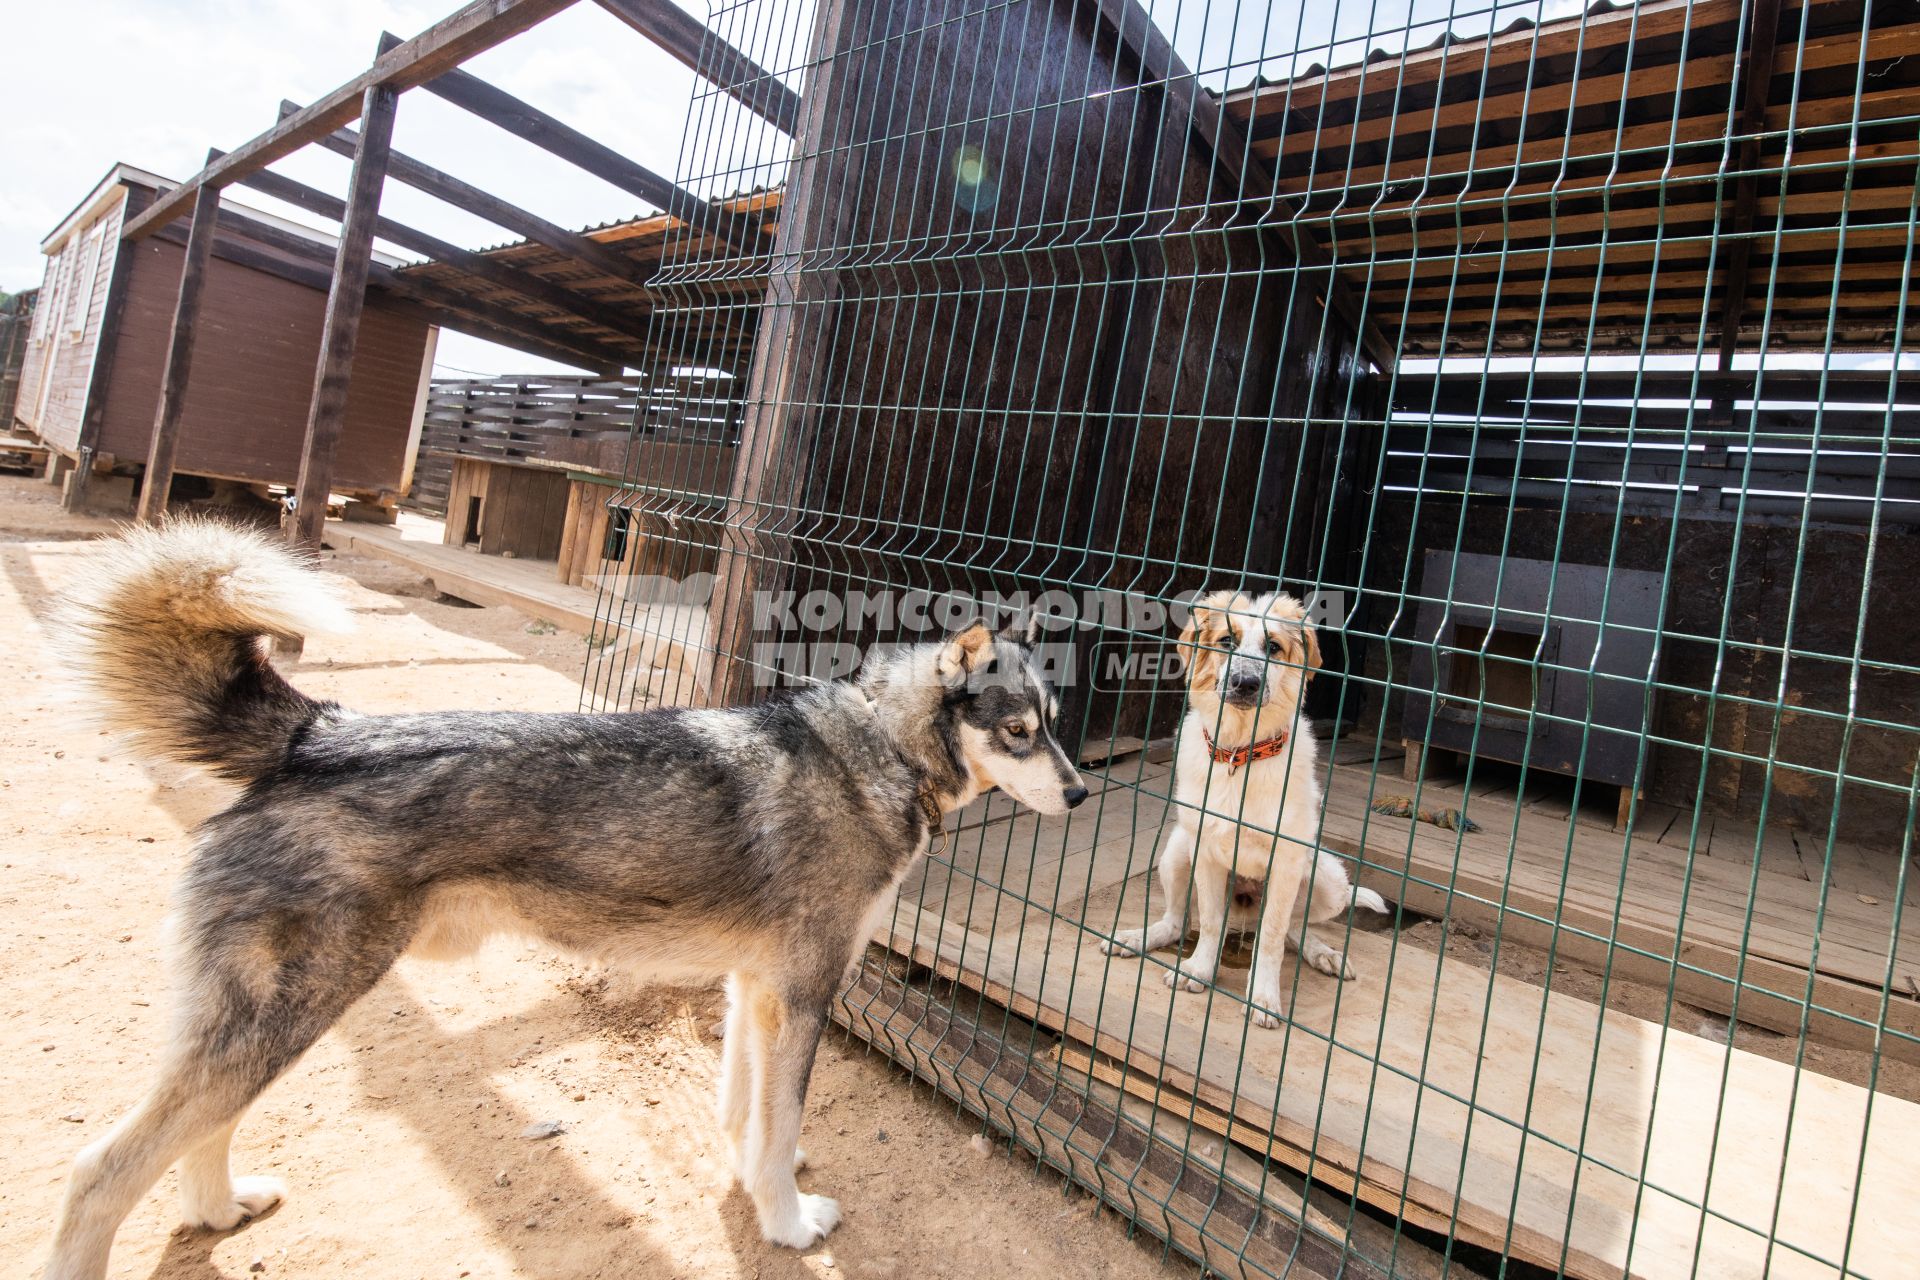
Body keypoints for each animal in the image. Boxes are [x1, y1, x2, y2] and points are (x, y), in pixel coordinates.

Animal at [45, 521, 1090, 1280]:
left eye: (1058, 727)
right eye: (1020, 732)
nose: (1083, 795)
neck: (877, 748)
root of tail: (318, 732)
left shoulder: (754, 991)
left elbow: (750, 1116)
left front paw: (764, 1180)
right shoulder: (801, 996)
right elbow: (780, 1115)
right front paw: (791, 1225)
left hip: (269, 1025)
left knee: (196, 1133)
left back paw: (221, 1208)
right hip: (290, 1013)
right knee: (101, 1173)